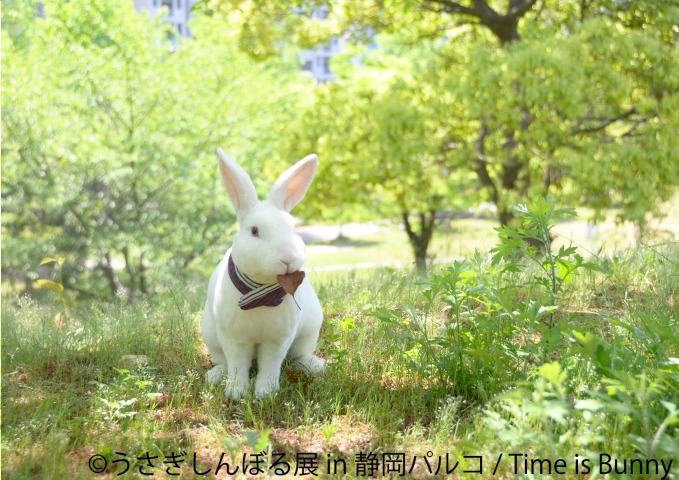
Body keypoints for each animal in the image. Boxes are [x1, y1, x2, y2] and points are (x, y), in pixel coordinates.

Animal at [202, 148, 326, 400]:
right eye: (254, 231)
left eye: (293, 229)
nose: (288, 257)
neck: (261, 293)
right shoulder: (234, 340)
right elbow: (237, 364)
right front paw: (237, 392)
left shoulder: (278, 340)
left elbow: (270, 364)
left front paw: (265, 393)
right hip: (212, 339)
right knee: (224, 363)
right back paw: (215, 376)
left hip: (308, 333)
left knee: (297, 357)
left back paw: (315, 366)